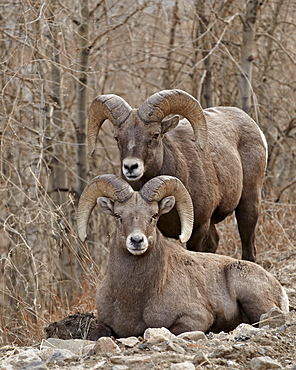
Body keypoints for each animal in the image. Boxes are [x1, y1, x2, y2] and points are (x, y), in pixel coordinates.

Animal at [77, 175, 290, 340]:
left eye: (154, 216)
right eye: (118, 216)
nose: (137, 241)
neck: (133, 295)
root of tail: (279, 289)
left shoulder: (194, 318)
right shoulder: (104, 324)